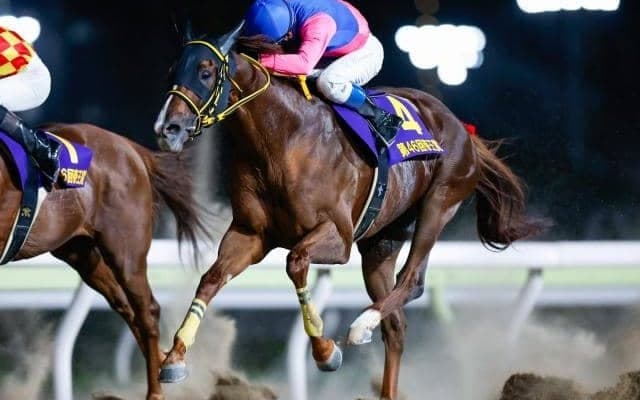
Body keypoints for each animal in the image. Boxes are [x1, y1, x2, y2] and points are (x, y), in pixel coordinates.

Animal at [0, 123, 209, 400]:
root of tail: (130, 148)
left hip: (125, 252)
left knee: (147, 310)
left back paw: (156, 389)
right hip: (81, 253)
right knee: (124, 305)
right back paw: (166, 361)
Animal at [153, 23, 546, 400]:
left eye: (205, 72)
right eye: (174, 68)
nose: (167, 128)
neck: (280, 139)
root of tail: (463, 129)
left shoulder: (338, 237)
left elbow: (295, 262)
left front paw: (326, 351)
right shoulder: (250, 235)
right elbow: (211, 278)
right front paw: (173, 358)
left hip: (439, 203)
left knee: (413, 281)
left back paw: (361, 325)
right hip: (382, 241)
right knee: (396, 325)